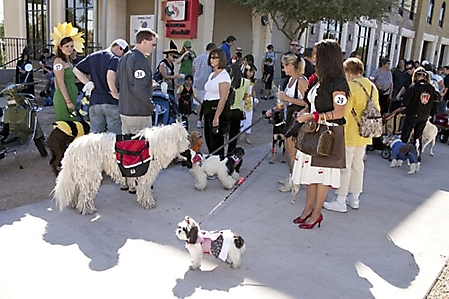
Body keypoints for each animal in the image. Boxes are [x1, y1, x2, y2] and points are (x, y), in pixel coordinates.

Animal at [52, 123, 189, 214]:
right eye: (182, 138)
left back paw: (75, 204)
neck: (153, 146)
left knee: (77, 190)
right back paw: (87, 209)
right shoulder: (145, 175)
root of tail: (72, 147)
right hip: (89, 174)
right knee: (85, 193)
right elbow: (145, 189)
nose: (188, 146)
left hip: (79, 173)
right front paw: (148, 203)